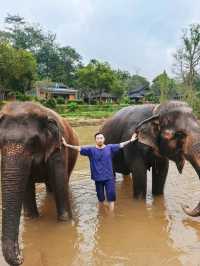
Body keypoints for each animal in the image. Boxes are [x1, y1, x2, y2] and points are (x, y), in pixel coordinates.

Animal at [0, 101, 79, 264]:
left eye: (33, 141)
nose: (21, 258)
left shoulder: (59, 148)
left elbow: (60, 183)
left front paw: (64, 222)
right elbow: (27, 187)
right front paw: (31, 219)